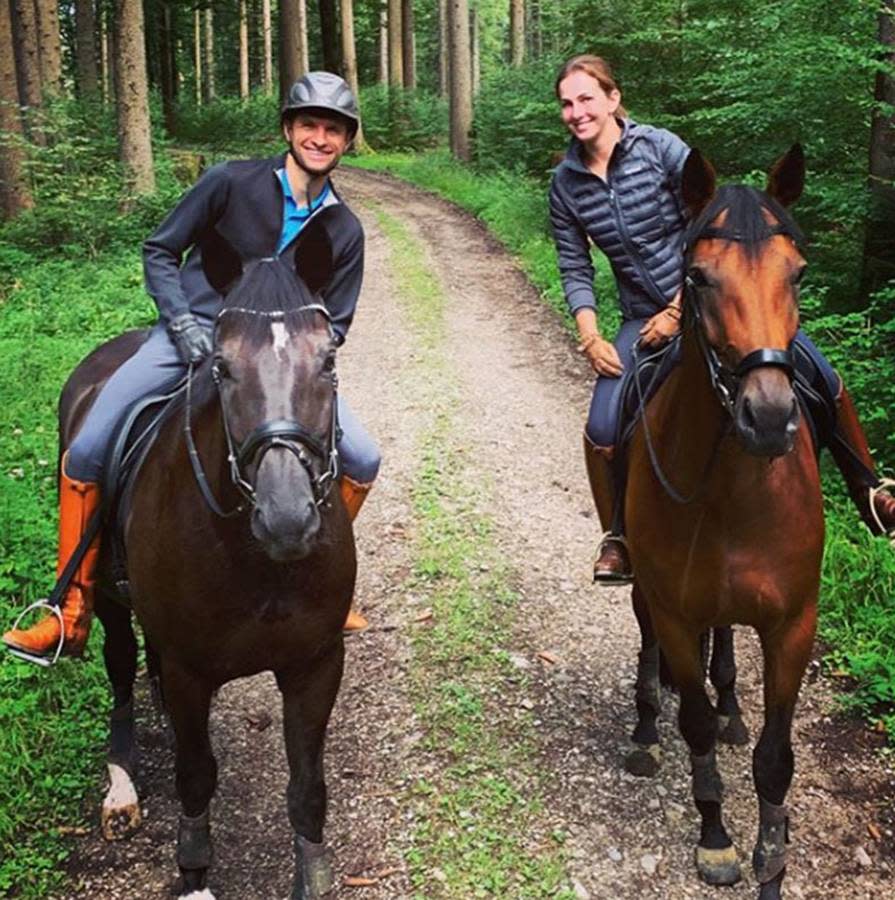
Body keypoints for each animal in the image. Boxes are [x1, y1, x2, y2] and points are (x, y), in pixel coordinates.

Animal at [67, 243, 354, 896]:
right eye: (221, 368)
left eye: (328, 360)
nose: (286, 517)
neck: (259, 565)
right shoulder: (189, 670)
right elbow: (196, 775)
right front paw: (194, 870)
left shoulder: (316, 664)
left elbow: (308, 789)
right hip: (108, 600)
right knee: (121, 668)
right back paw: (120, 785)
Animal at [628, 144, 824, 896]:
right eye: (697, 276)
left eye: (797, 274)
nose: (766, 417)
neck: (737, 494)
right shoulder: (675, 611)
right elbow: (694, 725)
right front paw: (715, 839)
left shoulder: (793, 622)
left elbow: (775, 756)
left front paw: (773, 859)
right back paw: (643, 726)